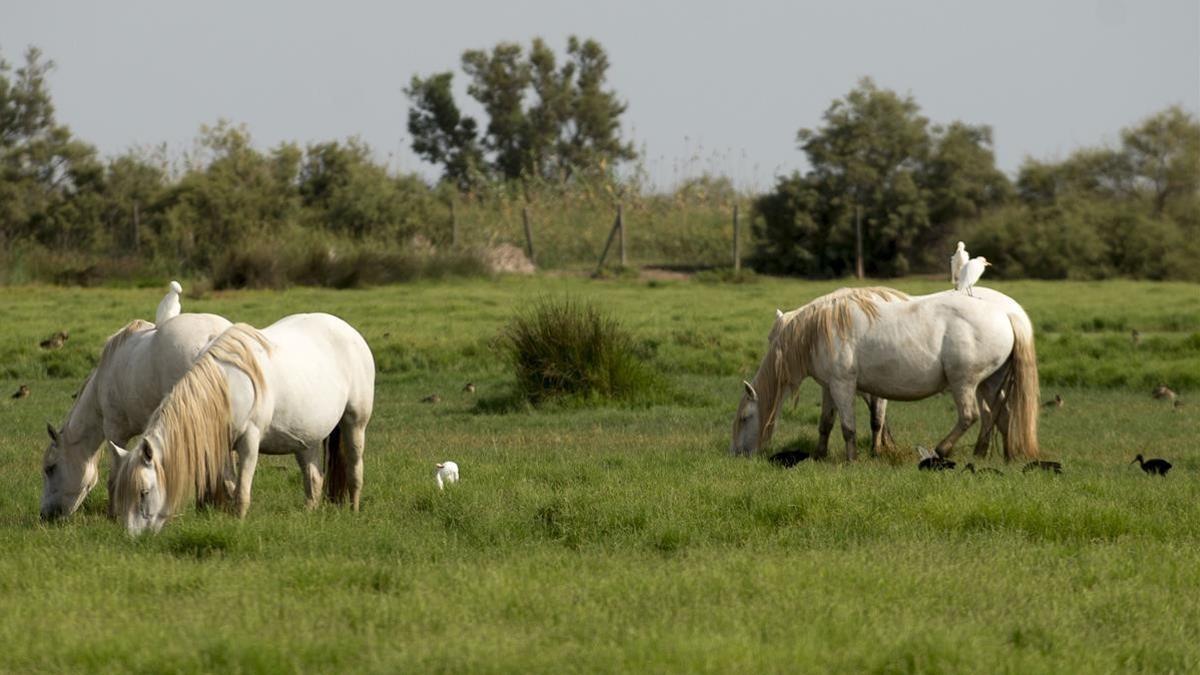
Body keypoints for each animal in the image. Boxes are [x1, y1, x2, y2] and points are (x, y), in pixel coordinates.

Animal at [112, 312, 376, 533]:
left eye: (144, 492)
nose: (132, 537)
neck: (227, 386)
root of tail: (348, 330)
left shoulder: (249, 442)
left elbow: (242, 491)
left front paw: (238, 524)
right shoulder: (222, 446)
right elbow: (230, 487)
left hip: (355, 423)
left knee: (354, 469)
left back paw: (354, 510)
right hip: (305, 440)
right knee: (314, 480)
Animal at [729, 283, 1041, 461]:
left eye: (745, 418)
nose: (737, 455)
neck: (817, 332)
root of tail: (1006, 314)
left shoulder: (843, 385)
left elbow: (848, 427)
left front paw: (852, 460)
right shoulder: (830, 387)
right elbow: (826, 424)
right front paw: (819, 455)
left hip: (964, 383)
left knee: (970, 416)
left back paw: (941, 451)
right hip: (990, 382)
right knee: (998, 415)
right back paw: (992, 455)